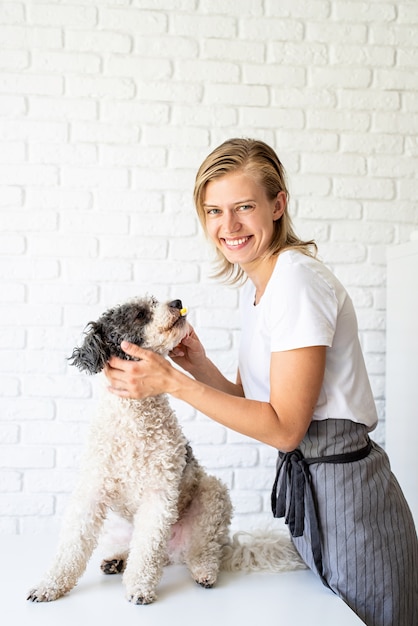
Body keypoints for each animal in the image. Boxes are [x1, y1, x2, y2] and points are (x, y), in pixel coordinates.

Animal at [27, 294, 306, 604]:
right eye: (139, 313)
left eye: (153, 301)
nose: (176, 301)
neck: (133, 421)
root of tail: (174, 552)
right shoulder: (92, 492)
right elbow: (72, 545)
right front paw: (49, 585)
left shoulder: (158, 496)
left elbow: (147, 551)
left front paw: (139, 588)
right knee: (140, 549)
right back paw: (116, 560)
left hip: (213, 496)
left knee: (200, 550)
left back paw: (203, 571)